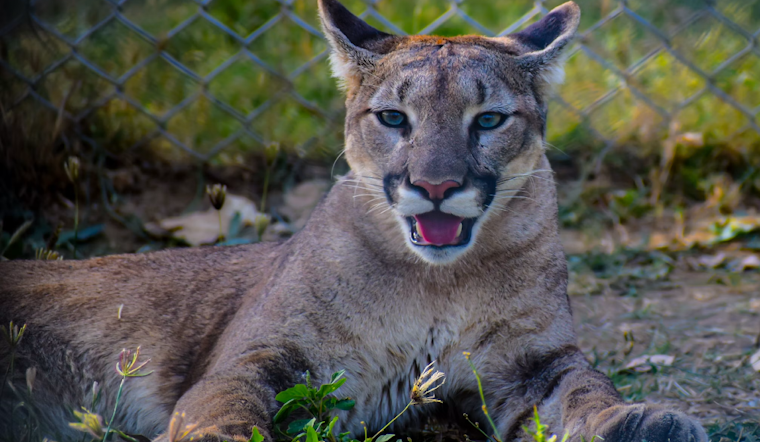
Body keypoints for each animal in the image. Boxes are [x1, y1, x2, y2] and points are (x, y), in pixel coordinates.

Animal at [0, 1, 707, 441]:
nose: (436, 187)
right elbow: (228, 401)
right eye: (393, 118)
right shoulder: (260, 353)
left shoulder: (535, 362)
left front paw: (642, 422)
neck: (434, 284)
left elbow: (589, 391)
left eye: (488, 120)